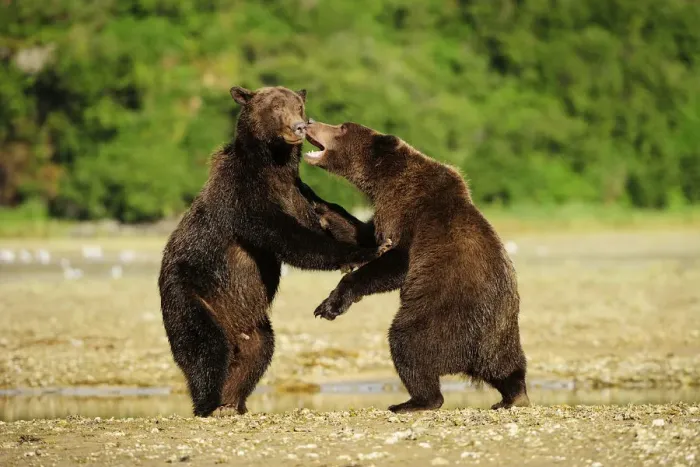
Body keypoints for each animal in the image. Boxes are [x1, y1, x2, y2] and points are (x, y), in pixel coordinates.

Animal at [158, 86, 384, 418]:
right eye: (277, 107)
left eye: (298, 105)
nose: (299, 127)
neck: (273, 165)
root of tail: (232, 329)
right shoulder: (245, 197)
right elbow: (289, 238)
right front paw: (363, 253)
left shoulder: (297, 193)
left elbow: (329, 220)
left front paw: (369, 240)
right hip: (190, 295)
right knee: (205, 347)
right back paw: (209, 403)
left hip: (251, 322)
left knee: (259, 350)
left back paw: (233, 401)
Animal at [303, 120, 530, 413]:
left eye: (342, 127)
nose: (310, 122)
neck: (385, 179)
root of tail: (474, 357)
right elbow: (365, 236)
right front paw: (318, 203)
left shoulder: (410, 213)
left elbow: (396, 261)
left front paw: (329, 305)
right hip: (502, 337)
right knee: (508, 367)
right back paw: (512, 396)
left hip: (442, 318)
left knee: (407, 344)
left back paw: (413, 401)